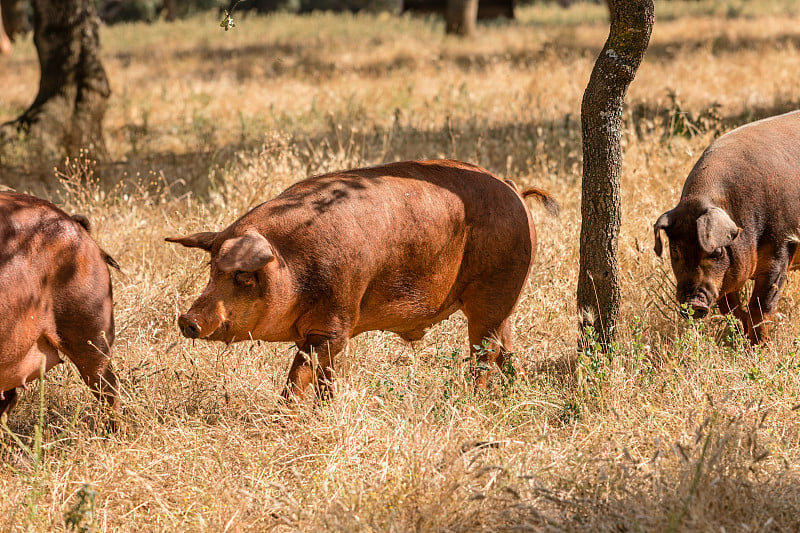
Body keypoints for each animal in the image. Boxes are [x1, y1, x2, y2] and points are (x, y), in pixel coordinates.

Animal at [169, 158, 556, 400]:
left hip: (495, 287)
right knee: (505, 346)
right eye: (212, 268)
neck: (294, 266)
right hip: (504, 299)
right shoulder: (324, 334)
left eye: (243, 276)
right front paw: (326, 409)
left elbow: (298, 377)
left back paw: (472, 400)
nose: (187, 319)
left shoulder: (334, 323)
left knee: (485, 351)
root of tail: (514, 190)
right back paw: (510, 392)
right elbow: (324, 378)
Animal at [652, 110, 800, 342]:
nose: (694, 302)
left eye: (716, 252)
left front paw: (758, 346)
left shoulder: (783, 245)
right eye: (675, 250)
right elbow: (729, 307)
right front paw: (740, 333)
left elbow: (761, 306)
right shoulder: (726, 277)